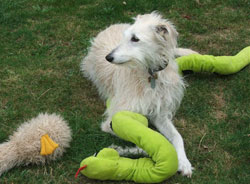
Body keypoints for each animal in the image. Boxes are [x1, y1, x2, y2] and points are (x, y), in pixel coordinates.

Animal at [81, 11, 198, 177]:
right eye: (126, 37)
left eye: (135, 39)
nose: (108, 57)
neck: (150, 74)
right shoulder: (113, 119)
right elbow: (146, 136)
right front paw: (132, 150)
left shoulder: (159, 113)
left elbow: (177, 136)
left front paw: (184, 162)